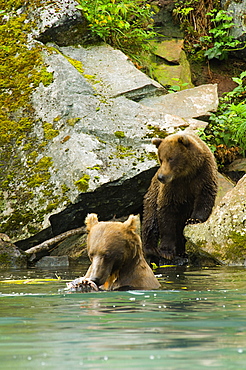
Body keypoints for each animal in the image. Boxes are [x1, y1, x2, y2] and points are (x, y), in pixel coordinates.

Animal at [142, 132, 217, 264]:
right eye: (161, 158)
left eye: (171, 158)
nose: (161, 177)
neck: (186, 174)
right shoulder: (172, 188)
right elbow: (166, 214)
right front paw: (166, 251)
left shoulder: (203, 174)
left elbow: (205, 196)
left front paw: (193, 219)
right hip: (152, 196)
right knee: (151, 220)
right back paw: (151, 249)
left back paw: (181, 251)